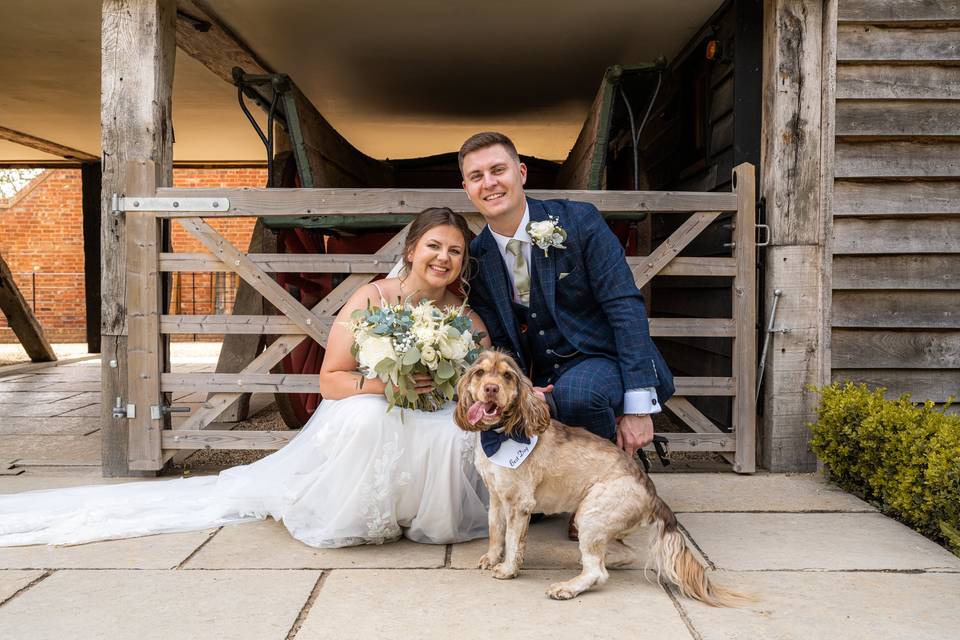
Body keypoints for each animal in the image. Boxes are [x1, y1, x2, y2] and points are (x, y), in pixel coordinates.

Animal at [454, 350, 740, 604]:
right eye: (480, 373)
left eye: (507, 376)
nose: (491, 389)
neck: (499, 436)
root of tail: (652, 493)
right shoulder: (496, 496)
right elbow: (495, 530)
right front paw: (492, 558)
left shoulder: (519, 503)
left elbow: (513, 541)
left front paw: (507, 569)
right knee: (624, 555)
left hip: (591, 515)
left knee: (597, 573)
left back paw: (566, 588)